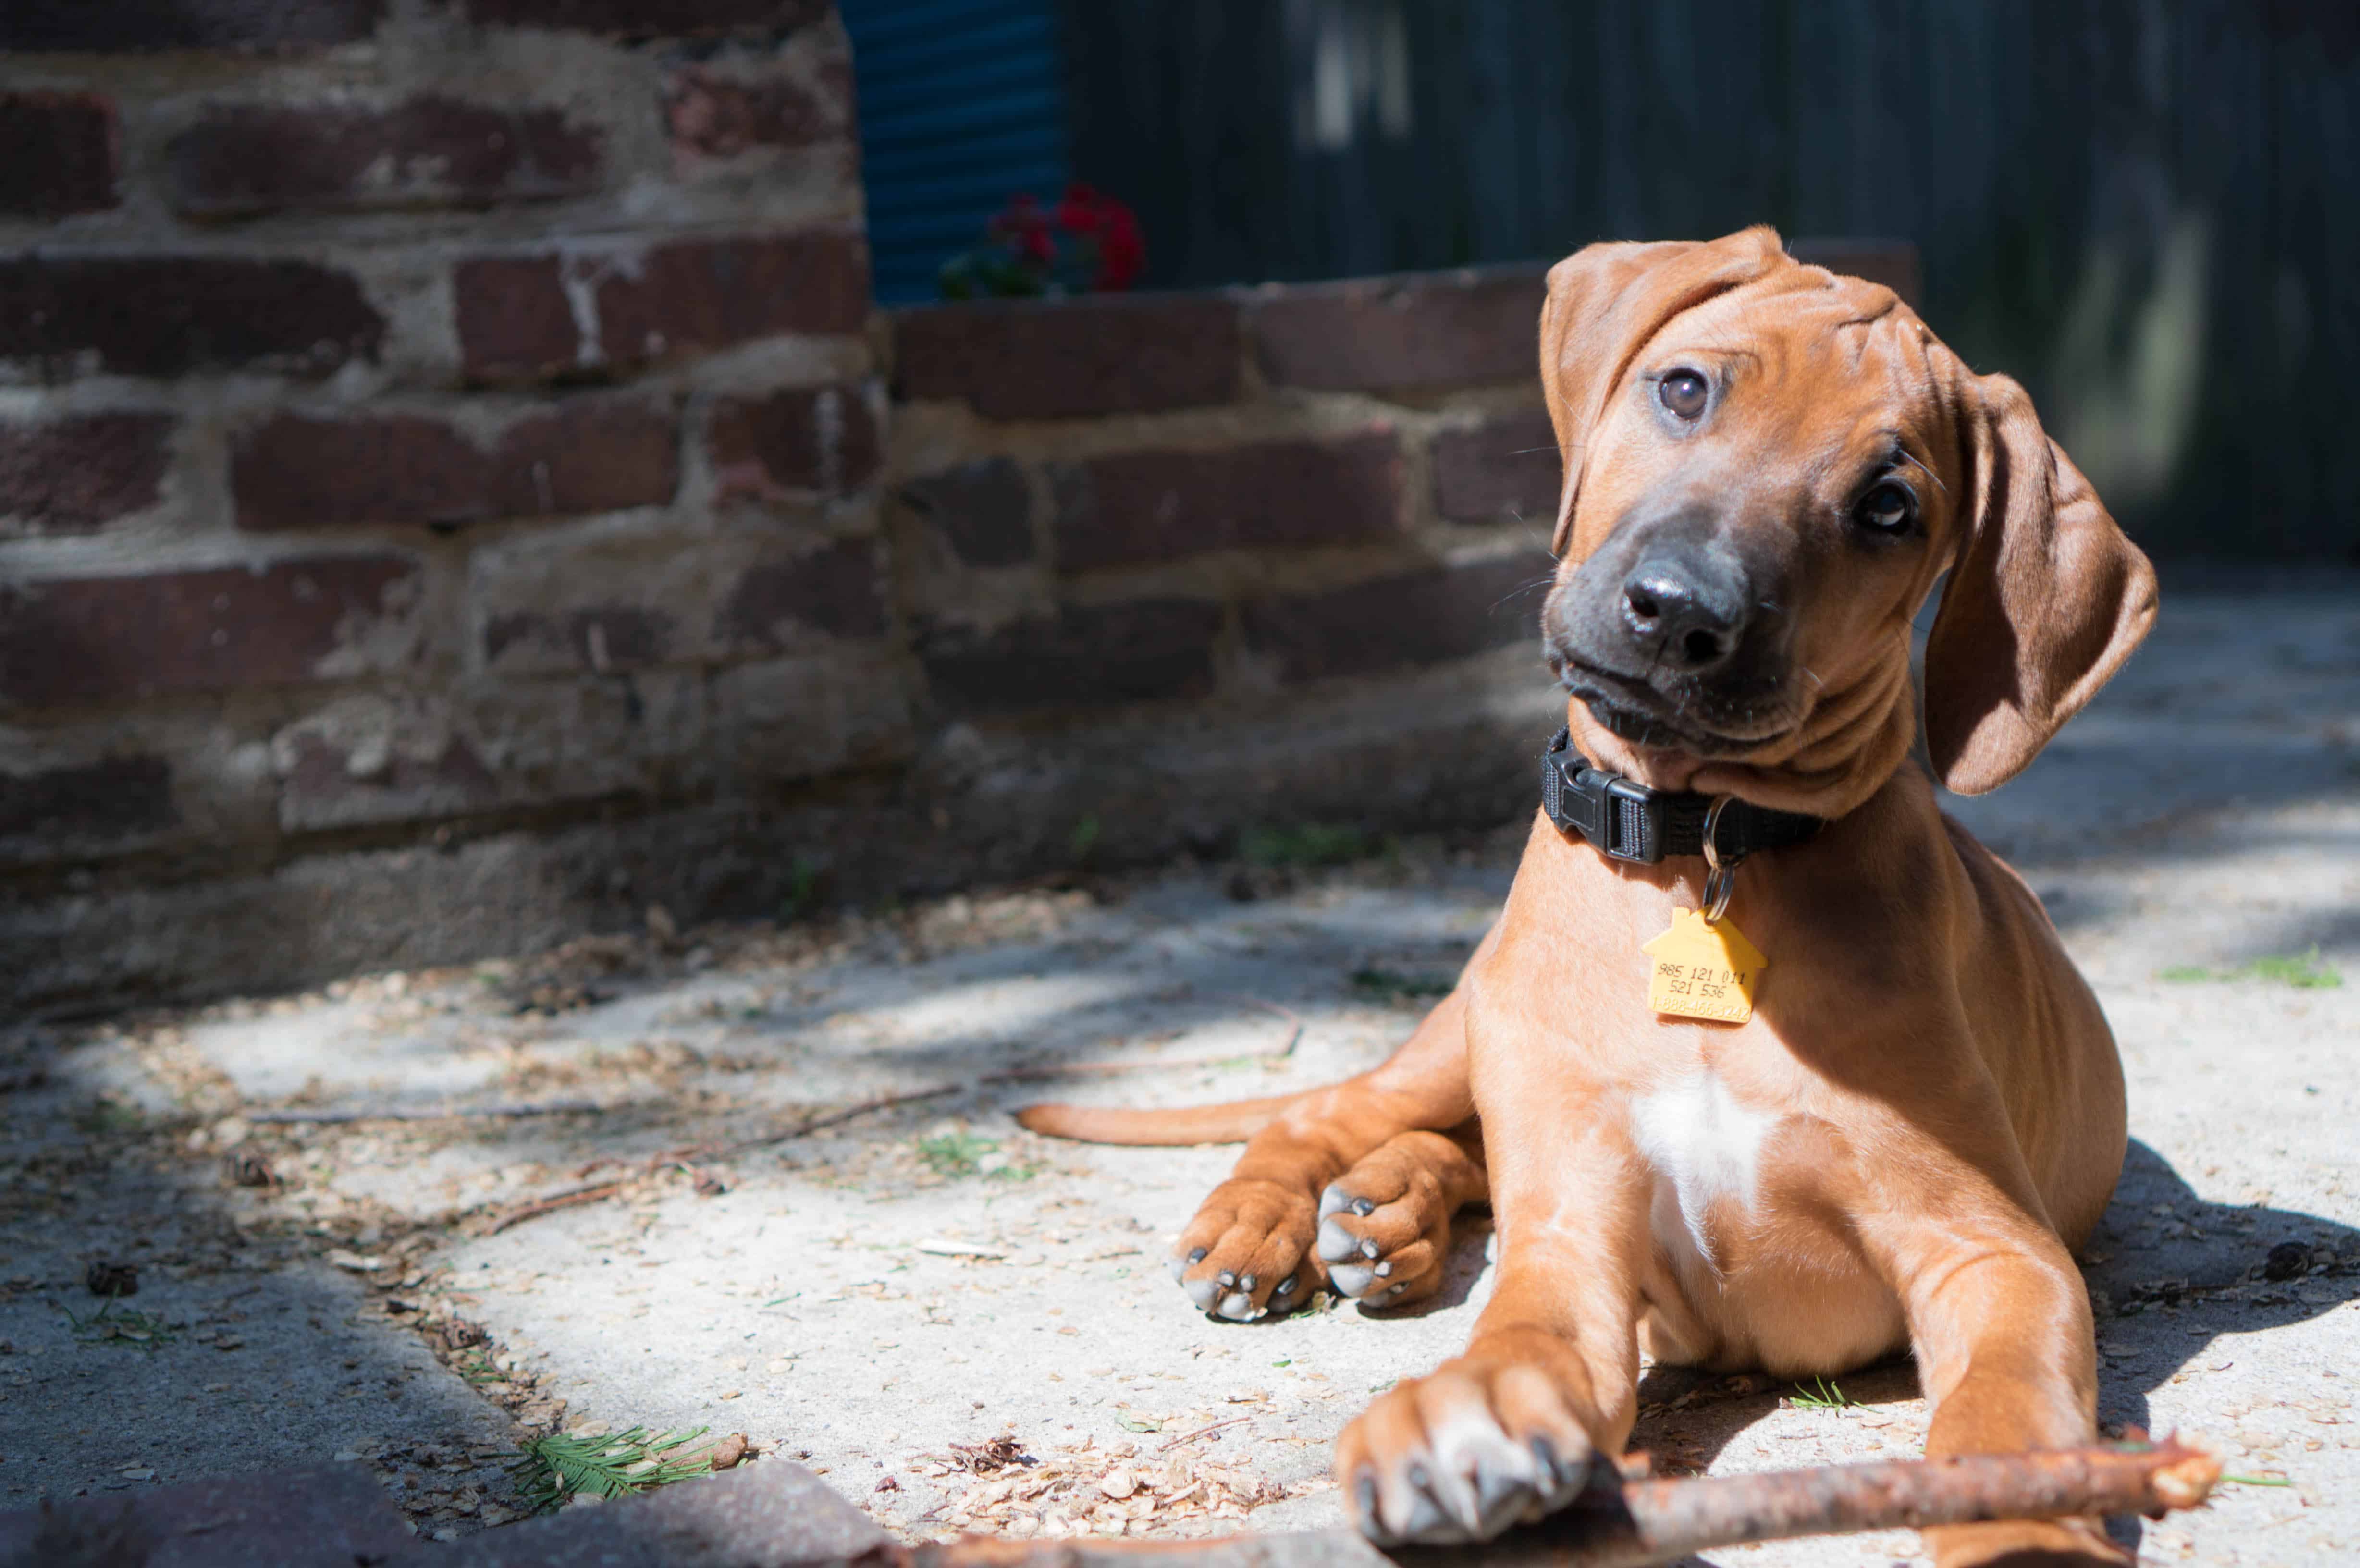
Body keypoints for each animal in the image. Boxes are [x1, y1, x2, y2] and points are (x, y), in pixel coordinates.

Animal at [1015, 226, 2162, 1558]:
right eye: (1685, 388)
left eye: (1891, 508)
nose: (1677, 614)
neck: (1692, 855)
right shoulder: (1573, 1230)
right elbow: (1520, 1324)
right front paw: (1462, 1412)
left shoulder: (1995, 1251)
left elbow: (2004, 1408)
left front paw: (2021, 1522)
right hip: (1472, 1023)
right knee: (1331, 1114)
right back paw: (1268, 1225)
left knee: (1448, 1152)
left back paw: (1386, 1215)